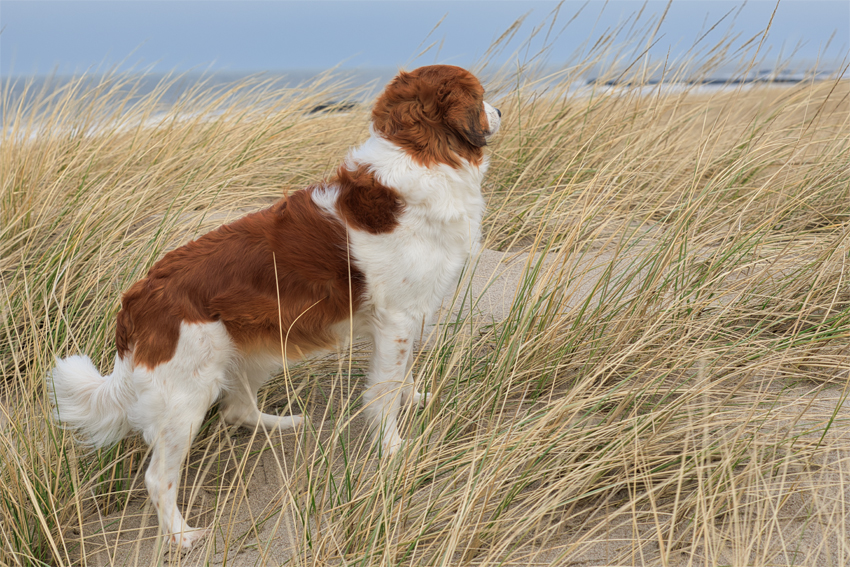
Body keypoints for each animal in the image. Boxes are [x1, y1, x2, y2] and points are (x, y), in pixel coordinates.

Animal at [48, 64, 496, 548]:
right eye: (482, 97)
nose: (500, 111)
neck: (421, 158)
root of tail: (136, 302)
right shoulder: (395, 319)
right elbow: (384, 392)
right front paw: (393, 448)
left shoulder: (406, 320)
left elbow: (402, 376)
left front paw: (415, 400)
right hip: (186, 399)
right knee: (158, 477)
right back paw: (182, 536)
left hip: (251, 354)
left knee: (238, 410)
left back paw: (283, 425)